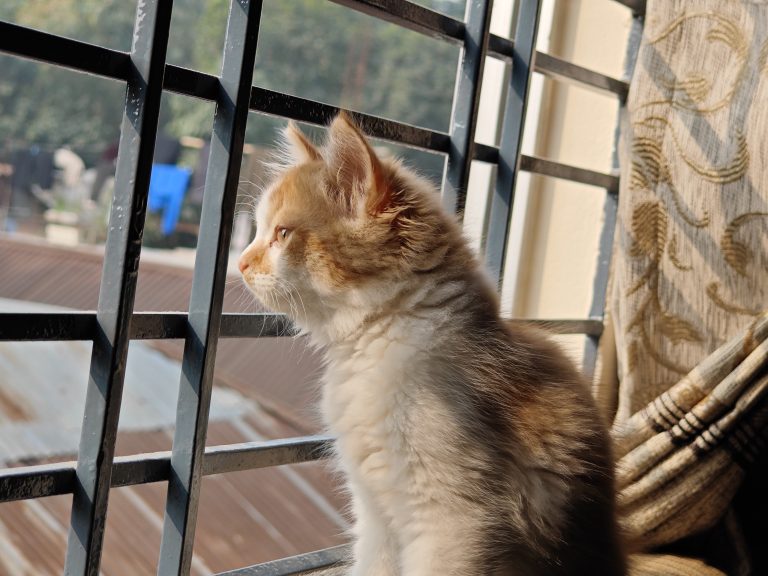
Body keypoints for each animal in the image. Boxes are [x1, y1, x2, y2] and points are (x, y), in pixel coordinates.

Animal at [238, 112, 624, 576]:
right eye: (261, 231)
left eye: (281, 233)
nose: (240, 264)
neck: (380, 342)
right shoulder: (377, 517)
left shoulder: (454, 518)